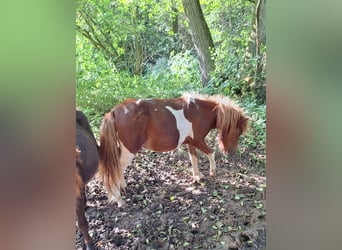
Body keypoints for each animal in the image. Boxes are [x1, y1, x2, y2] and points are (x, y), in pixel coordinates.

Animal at [97, 93, 247, 206]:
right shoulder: (198, 140)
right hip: (129, 151)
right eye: (238, 131)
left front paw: (197, 176)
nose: (231, 152)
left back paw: (122, 189)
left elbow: (193, 158)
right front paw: (212, 172)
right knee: (116, 169)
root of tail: (114, 112)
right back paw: (118, 199)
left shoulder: (191, 142)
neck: (200, 112)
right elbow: (211, 153)